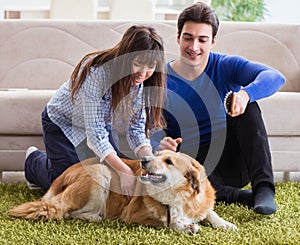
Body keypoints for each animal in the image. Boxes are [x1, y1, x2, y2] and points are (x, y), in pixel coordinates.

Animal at [8, 149, 237, 234]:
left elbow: (211, 213)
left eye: (168, 161)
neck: (178, 197)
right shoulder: (134, 215)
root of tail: (59, 178)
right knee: (66, 211)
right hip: (100, 173)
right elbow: (167, 221)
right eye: (157, 154)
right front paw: (184, 226)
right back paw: (94, 217)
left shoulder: (200, 205)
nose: (144, 160)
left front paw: (225, 224)